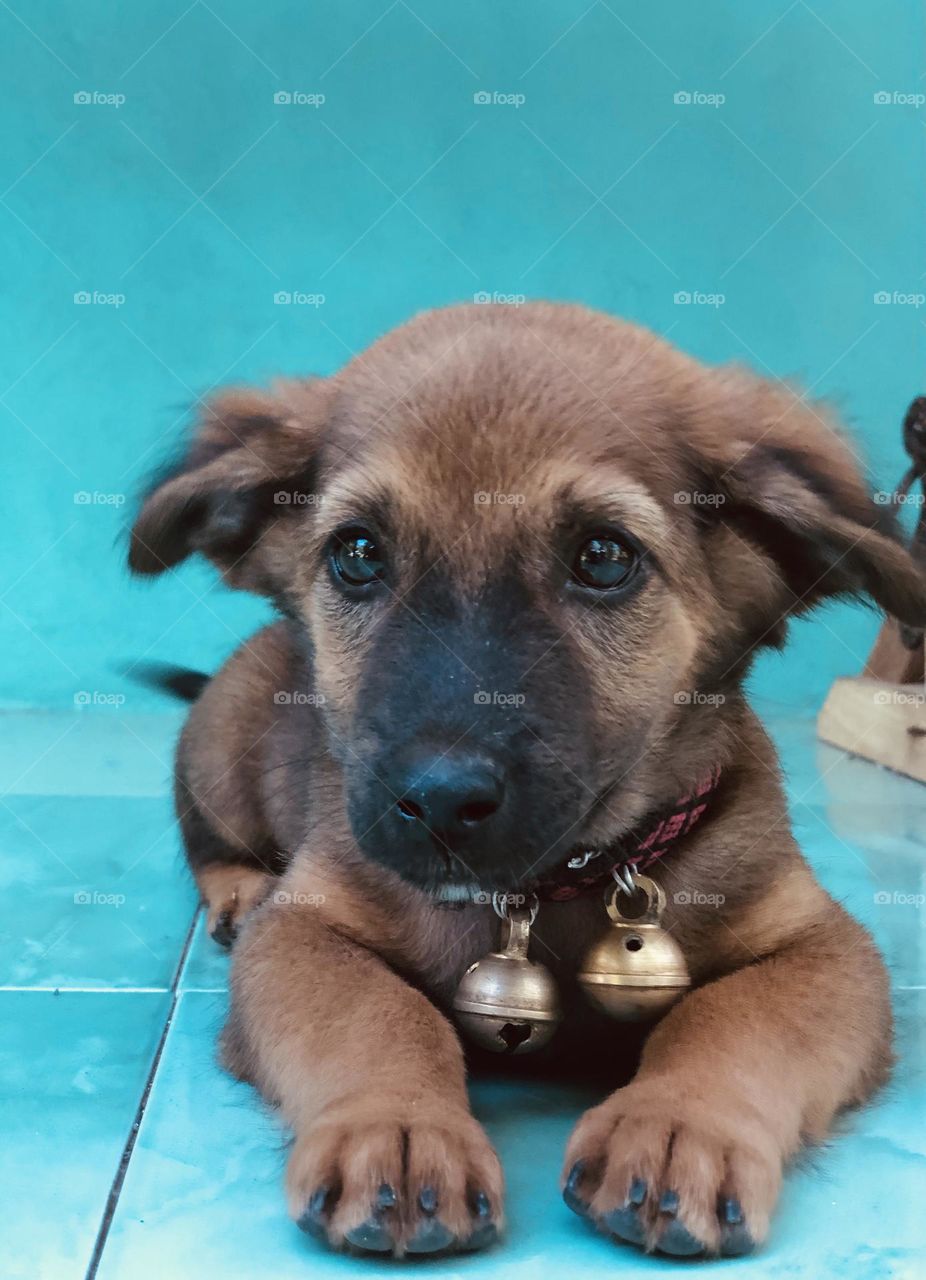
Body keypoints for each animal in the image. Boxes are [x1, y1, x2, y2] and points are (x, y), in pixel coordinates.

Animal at [126, 302, 922, 1259]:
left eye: (604, 557)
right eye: (357, 553)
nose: (437, 800)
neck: (548, 891)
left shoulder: (827, 948)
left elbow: (736, 1018)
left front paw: (679, 1126)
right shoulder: (306, 929)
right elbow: (375, 1013)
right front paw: (397, 1127)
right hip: (219, 751)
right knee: (209, 839)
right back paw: (240, 888)